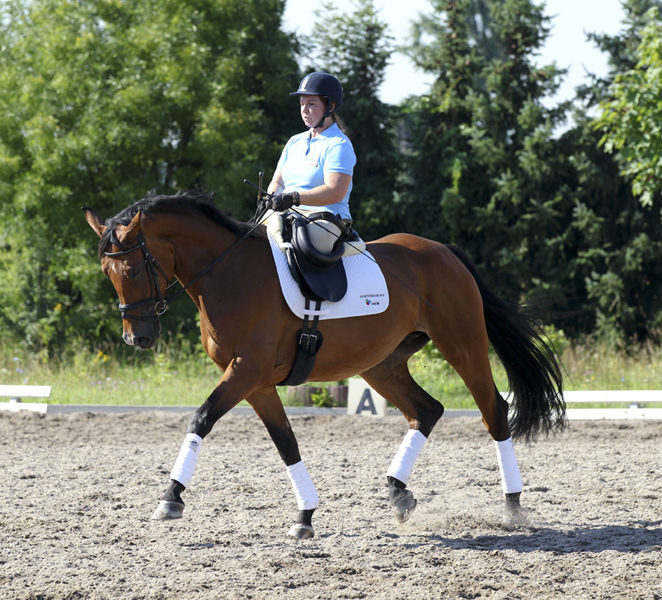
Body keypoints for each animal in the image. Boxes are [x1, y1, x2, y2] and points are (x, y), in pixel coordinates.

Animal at [83, 190, 568, 536]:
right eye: (107, 274)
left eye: (131, 270)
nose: (137, 338)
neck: (227, 274)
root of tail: (443, 251)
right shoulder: (256, 382)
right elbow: (286, 443)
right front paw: (305, 516)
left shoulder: (246, 371)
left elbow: (201, 418)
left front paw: (170, 499)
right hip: (381, 364)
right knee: (426, 410)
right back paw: (398, 494)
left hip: (461, 343)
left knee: (493, 411)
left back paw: (512, 506)